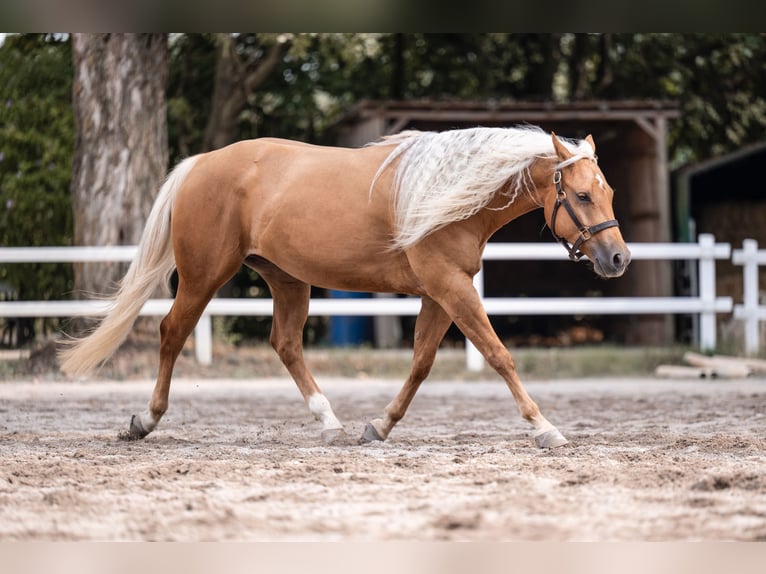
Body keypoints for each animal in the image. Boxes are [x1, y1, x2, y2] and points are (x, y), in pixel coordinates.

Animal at [59, 125, 630, 448]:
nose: (618, 259)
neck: (446, 194)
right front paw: (545, 428)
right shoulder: (450, 287)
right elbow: (498, 355)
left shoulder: (440, 292)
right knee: (172, 333)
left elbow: (421, 363)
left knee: (285, 345)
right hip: (203, 277)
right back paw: (145, 421)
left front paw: (379, 426)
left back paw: (330, 423)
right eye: (582, 195)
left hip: (287, 280)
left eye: (608, 191)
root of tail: (201, 164)